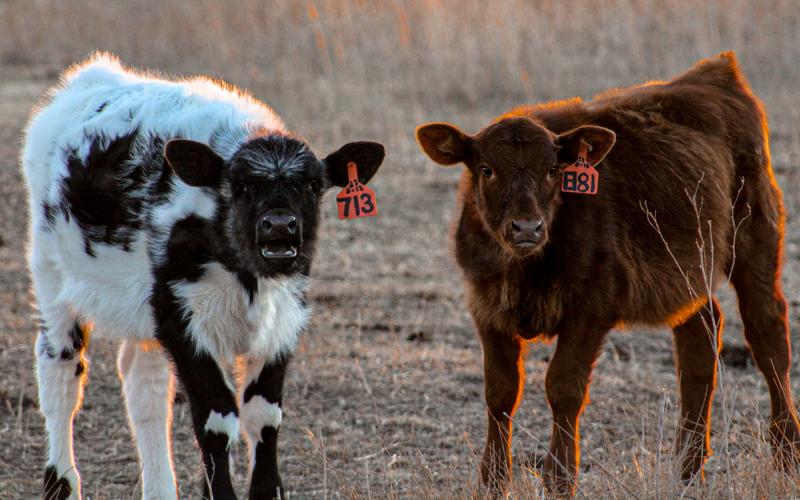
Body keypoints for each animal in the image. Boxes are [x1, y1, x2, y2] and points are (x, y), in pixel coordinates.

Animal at [22, 53, 385, 500]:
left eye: (313, 185)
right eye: (240, 185)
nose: (280, 228)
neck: (248, 277)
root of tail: (90, 75)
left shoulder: (284, 320)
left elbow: (265, 416)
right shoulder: (182, 320)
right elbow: (216, 419)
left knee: (145, 388)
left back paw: (160, 489)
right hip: (52, 280)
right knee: (60, 376)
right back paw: (61, 482)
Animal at [416, 52, 800, 494]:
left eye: (553, 169)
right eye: (486, 169)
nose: (527, 227)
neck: (523, 268)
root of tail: (716, 73)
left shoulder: (591, 309)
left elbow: (563, 388)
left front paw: (560, 479)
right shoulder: (486, 309)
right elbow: (500, 391)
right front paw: (492, 482)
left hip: (755, 237)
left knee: (767, 331)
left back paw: (786, 453)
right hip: (689, 271)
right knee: (701, 335)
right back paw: (687, 470)